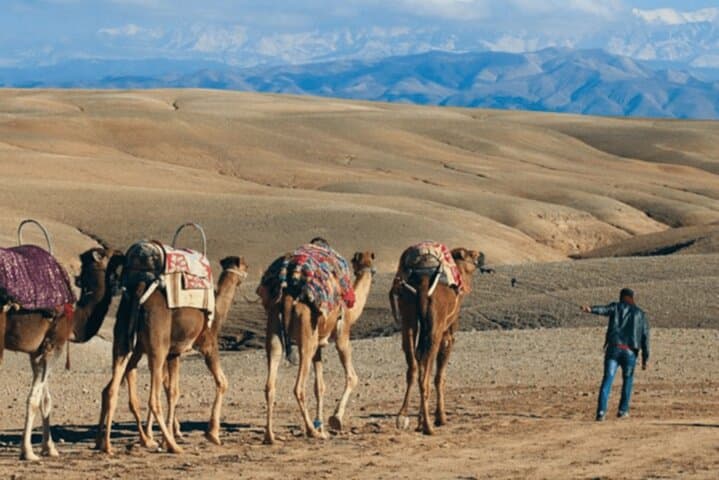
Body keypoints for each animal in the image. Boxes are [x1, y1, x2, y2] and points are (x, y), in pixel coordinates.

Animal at [0, 247, 124, 460]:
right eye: (106, 254)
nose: (121, 252)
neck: (74, 318)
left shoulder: (38, 351)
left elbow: (45, 400)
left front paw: (50, 448)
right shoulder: (55, 344)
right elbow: (34, 400)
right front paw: (28, 452)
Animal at [95, 253, 247, 455]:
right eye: (245, 266)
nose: (247, 273)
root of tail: (139, 292)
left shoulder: (174, 353)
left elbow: (173, 391)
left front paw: (168, 435)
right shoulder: (208, 345)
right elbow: (222, 382)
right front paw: (212, 434)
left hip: (124, 343)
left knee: (110, 389)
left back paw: (106, 444)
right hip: (156, 348)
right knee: (152, 399)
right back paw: (171, 446)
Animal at [261, 250, 375, 444]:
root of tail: (288, 297)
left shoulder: (319, 346)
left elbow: (319, 387)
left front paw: (322, 426)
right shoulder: (343, 336)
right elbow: (352, 377)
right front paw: (335, 420)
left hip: (275, 327)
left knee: (270, 383)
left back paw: (271, 436)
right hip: (306, 337)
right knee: (298, 387)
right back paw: (312, 432)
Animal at [392, 246, 487, 435]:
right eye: (472, 254)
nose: (482, 255)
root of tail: (422, 286)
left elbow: (421, 362)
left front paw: (419, 419)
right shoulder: (448, 332)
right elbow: (439, 376)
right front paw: (440, 417)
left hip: (408, 314)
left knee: (413, 367)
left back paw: (403, 417)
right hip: (435, 327)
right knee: (425, 377)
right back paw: (428, 427)